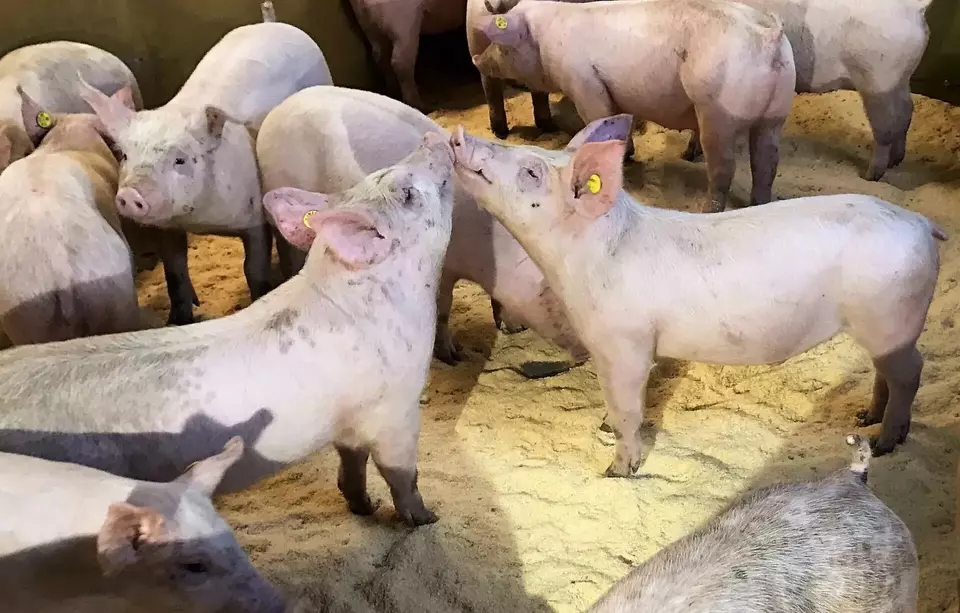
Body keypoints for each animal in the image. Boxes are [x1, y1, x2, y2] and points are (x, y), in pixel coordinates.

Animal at [0, 134, 455, 526]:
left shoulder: (349, 419)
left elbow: (352, 462)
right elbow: (401, 473)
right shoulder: (394, 409)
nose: (435, 137)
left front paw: (363, 507)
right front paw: (426, 519)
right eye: (407, 193)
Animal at [79, 7, 332, 325]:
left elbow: (253, 267)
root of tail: (272, 23)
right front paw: (177, 320)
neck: (200, 220)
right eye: (125, 155)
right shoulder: (166, 227)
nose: (129, 194)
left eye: (180, 159)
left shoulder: (253, 215)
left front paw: (258, 297)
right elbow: (174, 271)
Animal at [256, 85, 587, 367]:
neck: (488, 248)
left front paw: (512, 328)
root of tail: (274, 113)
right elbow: (443, 307)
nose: (585, 356)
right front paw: (453, 356)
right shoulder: (441, 265)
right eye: (552, 294)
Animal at [450, 115, 945, 477]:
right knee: (886, 373)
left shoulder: (626, 343)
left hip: (892, 316)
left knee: (911, 372)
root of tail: (922, 223)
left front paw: (615, 471)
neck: (579, 262)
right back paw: (864, 417)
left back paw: (884, 442)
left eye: (531, 171)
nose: (457, 135)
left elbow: (628, 407)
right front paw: (604, 428)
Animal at [471, 0, 796, 212]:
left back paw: (707, 209)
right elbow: (620, 120)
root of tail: (769, 36)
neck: (543, 39)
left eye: (502, 45)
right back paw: (760, 205)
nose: (476, 59)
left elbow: (598, 118)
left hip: (718, 111)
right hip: (777, 112)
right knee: (767, 162)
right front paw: (627, 155)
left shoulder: (583, 83)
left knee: (724, 167)